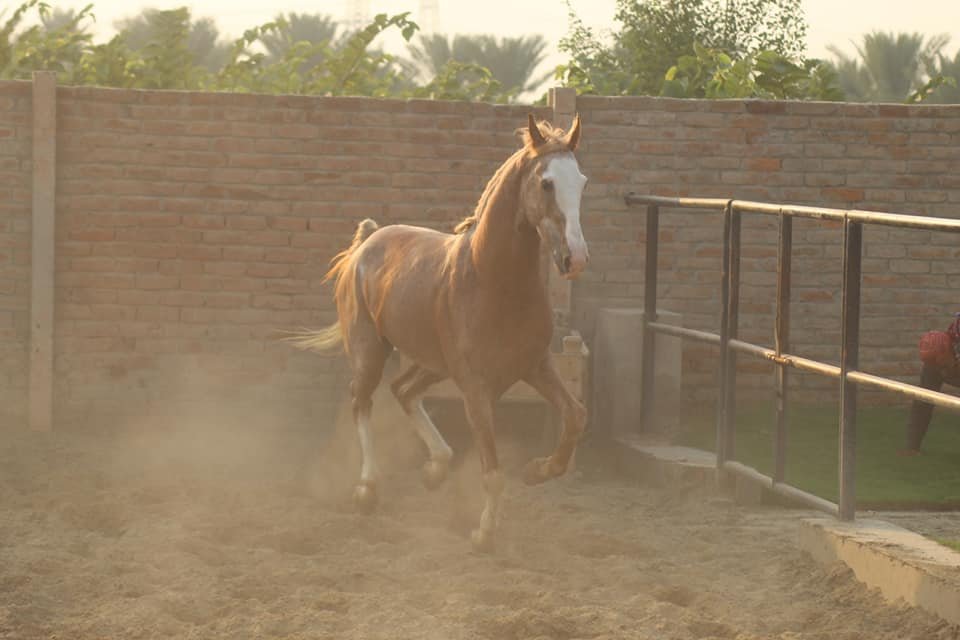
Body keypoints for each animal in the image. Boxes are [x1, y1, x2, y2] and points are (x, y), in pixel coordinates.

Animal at [288, 114, 589, 552]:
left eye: (581, 181)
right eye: (547, 183)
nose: (576, 258)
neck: (492, 281)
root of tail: (368, 241)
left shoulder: (537, 366)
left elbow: (575, 416)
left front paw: (538, 470)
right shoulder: (476, 389)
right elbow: (492, 471)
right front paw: (483, 533)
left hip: (432, 364)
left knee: (403, 391)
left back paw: (435, 469)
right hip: (370, 351)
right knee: (363, 401)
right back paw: (367, 489)